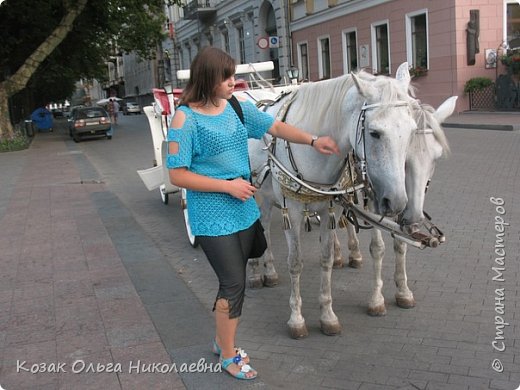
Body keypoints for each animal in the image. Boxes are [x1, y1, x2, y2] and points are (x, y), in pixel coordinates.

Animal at [247, 68, 418, 338]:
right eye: (374, 133)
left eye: (412, 132)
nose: (398, 200)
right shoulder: (291, 212)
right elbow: (295, 263)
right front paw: (296, 319)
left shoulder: (331, 209)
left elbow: (326, 259)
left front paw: (327, 315)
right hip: (257, 196)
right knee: (261, 229)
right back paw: (260, 272)